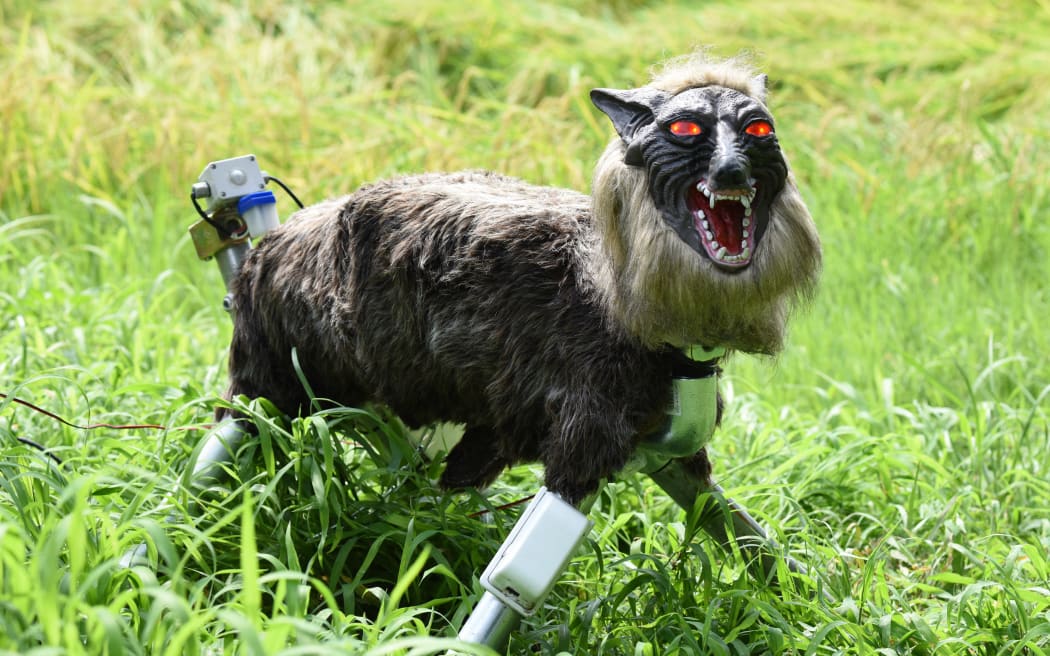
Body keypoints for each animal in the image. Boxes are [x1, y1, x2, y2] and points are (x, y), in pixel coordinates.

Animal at [225, 56, 823, 505]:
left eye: (758, 130)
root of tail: (266, 244)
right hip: (265, 379)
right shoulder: (583, 434)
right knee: (237, 423)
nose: (731, 172)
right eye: (685, 130)